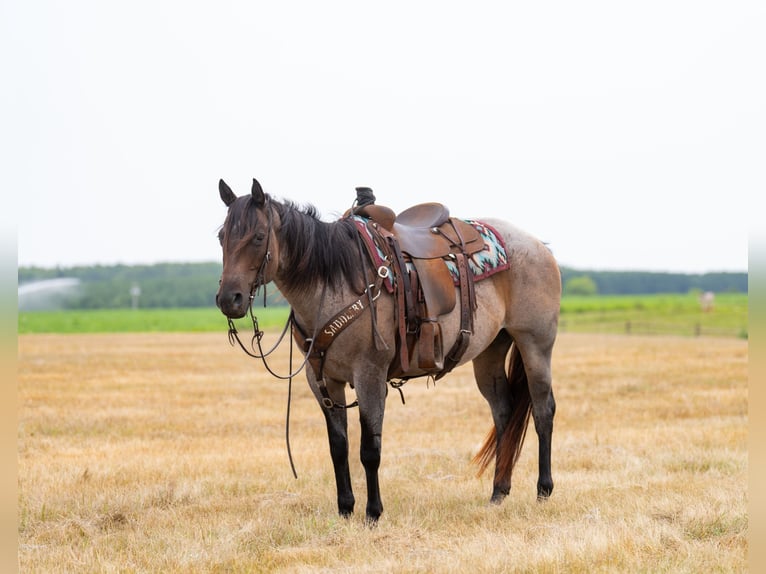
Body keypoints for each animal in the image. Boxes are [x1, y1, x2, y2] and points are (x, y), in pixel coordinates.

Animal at [215, 178, 561, 523]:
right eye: (221, 237)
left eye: (258, 237)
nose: (229, 299)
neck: (335, 283)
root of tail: (540, 246)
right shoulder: (322, 380)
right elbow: (338, 446)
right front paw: (345, 509)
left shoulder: (370, 375)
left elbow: (369, 449)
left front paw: (373, 513)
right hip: (489, 352)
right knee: (503, 413)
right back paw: (498, 492)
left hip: (535, 344)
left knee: (543, 410)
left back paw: (544, 489)